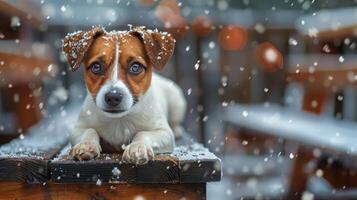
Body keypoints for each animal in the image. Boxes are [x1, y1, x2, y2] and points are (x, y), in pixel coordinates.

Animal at [62, 26, 186, 164]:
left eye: (135, 67)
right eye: (96, 67)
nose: (113, 96)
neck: (119, 120)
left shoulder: (164, 133)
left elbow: (143, 133)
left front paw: (137, 147)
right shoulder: (78, 128)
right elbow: (89, 130)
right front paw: (86, 144)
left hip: (177, 101)